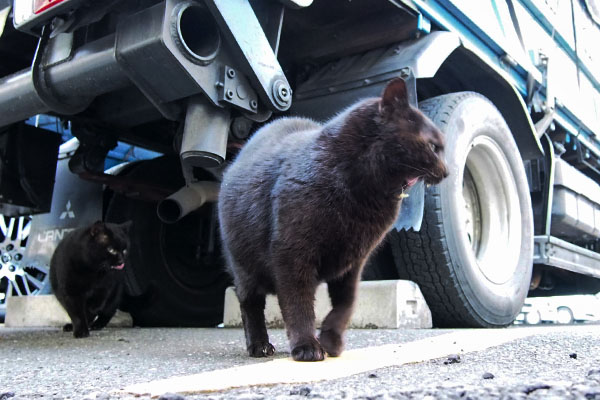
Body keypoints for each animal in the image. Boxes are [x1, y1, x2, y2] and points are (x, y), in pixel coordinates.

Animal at [218, 78, 448, 362]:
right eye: (433, 146)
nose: (448, 172)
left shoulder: (353, 263)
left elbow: (345, 305)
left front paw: (331, 341)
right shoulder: (291, 256)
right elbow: (298, 304)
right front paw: (306, 346)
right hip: (244, 267)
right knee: (250, 304)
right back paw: (259, 345)